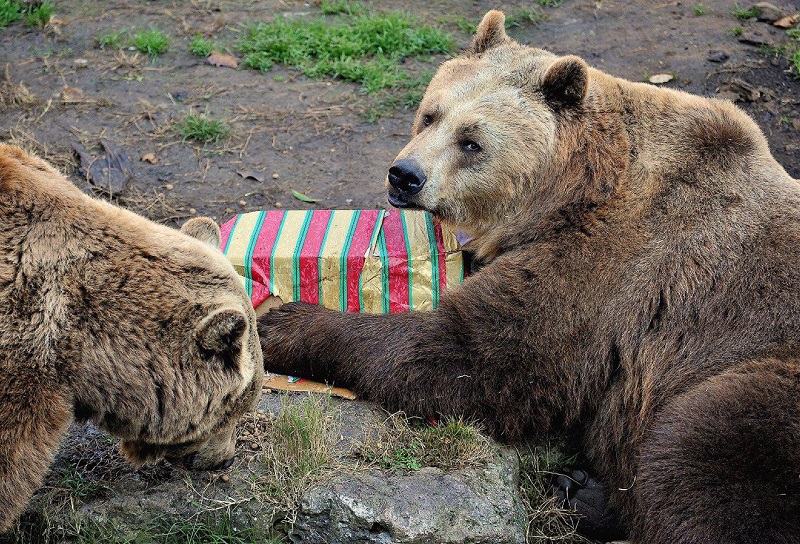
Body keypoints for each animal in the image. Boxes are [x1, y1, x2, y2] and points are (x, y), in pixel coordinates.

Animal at [256, 9, 800, 544]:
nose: (405, 175)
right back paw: (579, 489)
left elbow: (487, 354)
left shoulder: (615, 261)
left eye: (471, 142)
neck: (570, 191)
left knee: (700, 455)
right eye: (431, 114)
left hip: (758, 383)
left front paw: (283, 323)